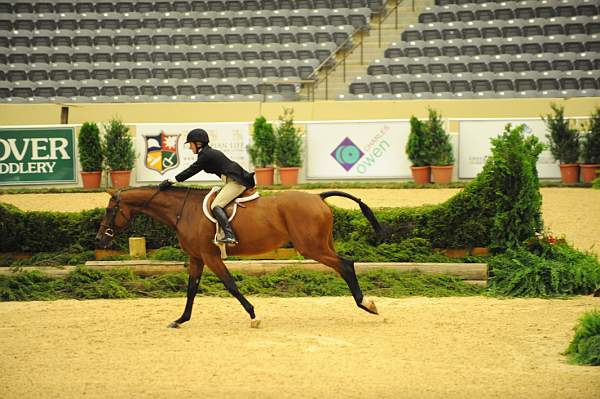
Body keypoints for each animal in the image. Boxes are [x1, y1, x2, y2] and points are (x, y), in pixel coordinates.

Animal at [96, 188, 382, 328]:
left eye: (110, 210)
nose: (99, 240)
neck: (183, 210)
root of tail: (317, 197)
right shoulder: (196, 258)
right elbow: (191, 289)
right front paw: (181, 320)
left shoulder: (210, 256)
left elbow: (231, 285)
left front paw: (254, 316)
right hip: (321, 244)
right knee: (345, 265)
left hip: (312, 248)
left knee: (346, 265)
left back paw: (366, 304)